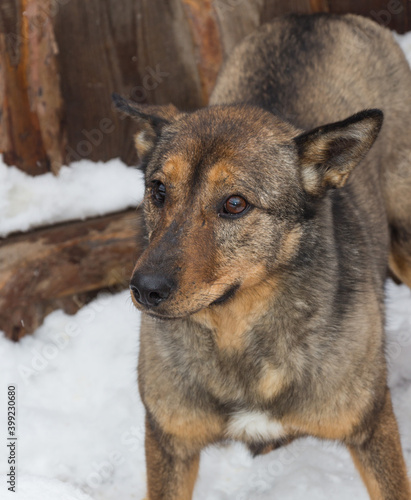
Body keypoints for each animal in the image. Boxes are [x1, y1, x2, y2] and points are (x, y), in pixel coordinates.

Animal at [112, 12, 411, 500]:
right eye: (158, 190)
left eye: (235, 204)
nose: (145, 290)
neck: (239, 334)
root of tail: (319, 16)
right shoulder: (170, 443)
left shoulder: (371, 428)